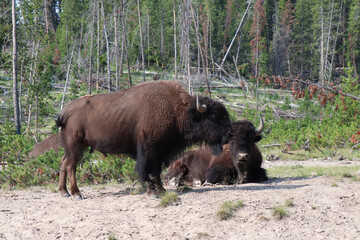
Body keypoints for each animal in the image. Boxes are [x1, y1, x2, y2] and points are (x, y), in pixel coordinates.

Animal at [56, 79, 231, 198]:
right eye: (215, 117)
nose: (229, 134)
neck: (180, 110)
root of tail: (65, 111)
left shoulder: (161, 152)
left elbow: (157, 171)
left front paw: (161, 190)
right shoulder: (149, 150)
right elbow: (149, 170)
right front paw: (153, 192)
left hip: (72, 147)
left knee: (64, 162)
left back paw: (64, 192)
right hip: (76, 145)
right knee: (71, 165)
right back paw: (76, 193)